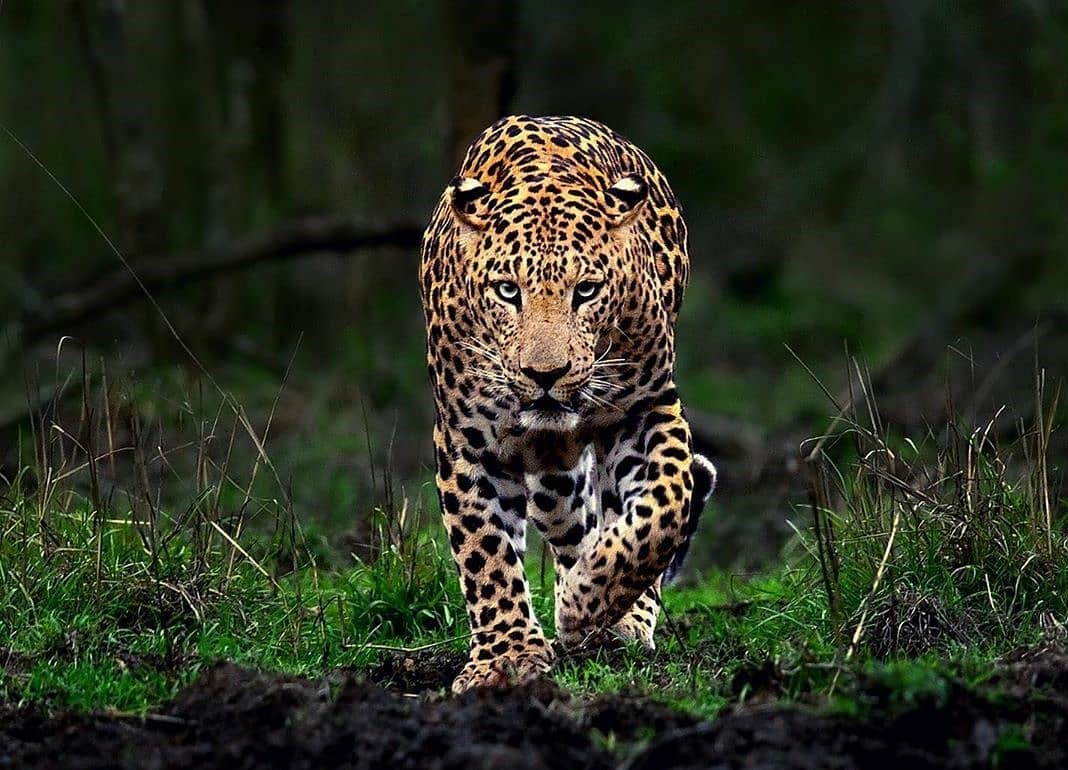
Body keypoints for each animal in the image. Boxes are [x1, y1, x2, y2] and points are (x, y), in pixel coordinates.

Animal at [419, 114, 717, 694]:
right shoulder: (466, 439)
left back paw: (615, 617)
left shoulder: (646, 406)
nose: (545, 374)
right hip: (553, 477)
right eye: (507, 291)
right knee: (571, 524)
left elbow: (666, 505)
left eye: (586, 291)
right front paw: (506, 657)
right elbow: (485, 551)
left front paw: (588, 602)